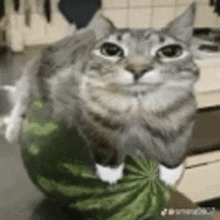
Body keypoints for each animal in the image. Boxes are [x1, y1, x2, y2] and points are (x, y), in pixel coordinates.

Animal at [3, 3, 199, 186]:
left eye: (170, 52)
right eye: (111, 50)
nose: (138, 69)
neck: (138, 109)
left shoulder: (185, 117)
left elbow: (177, 146)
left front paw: (171, 173)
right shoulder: (79, 106)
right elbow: (101, 136)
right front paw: (110, 172)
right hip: (33, 80)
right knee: (20, 103)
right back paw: (11, 130)